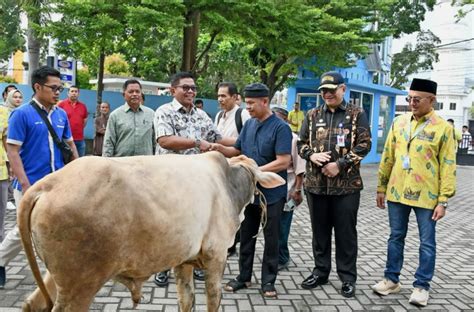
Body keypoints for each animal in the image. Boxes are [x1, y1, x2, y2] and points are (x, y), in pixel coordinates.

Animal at [17, 152, 286, 310]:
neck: (229, 182)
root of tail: (47, 185)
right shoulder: (215, 257)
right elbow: (213, 300)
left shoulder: (184, 261)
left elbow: (186, 299)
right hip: (81, 285)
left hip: (59, 278)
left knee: (32, 304)